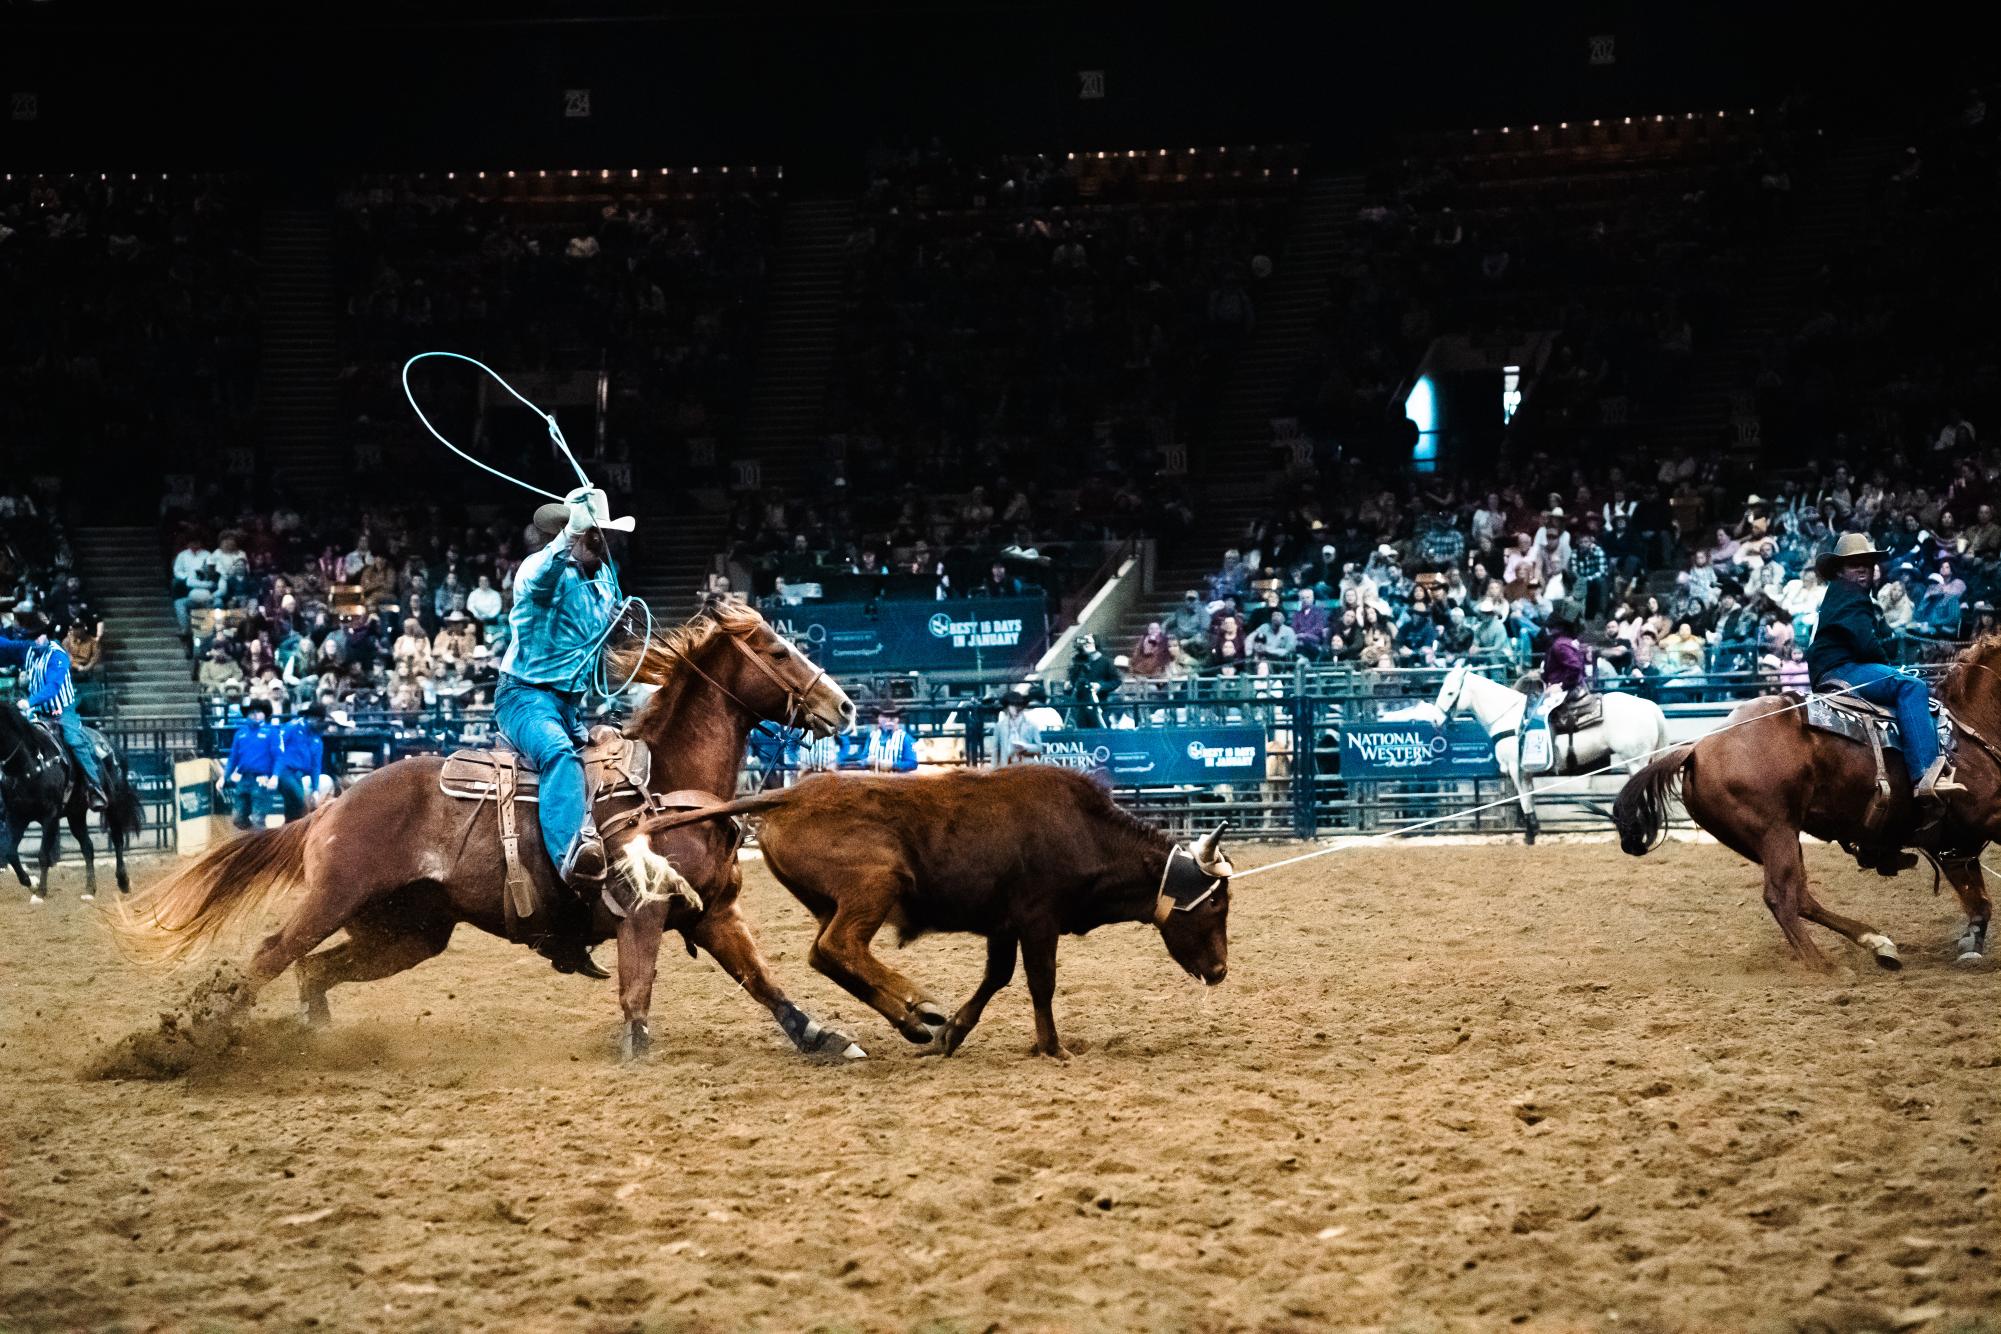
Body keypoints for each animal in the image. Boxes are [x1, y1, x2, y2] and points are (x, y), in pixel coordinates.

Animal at [0, 704, 145, 904]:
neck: (29, 763)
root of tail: (111, 745)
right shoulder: (16, 816)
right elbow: (11, 853)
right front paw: (33, 883)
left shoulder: (50, 816)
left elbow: (43, 855)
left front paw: (40, 892)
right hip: (75, 814)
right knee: (88, 847)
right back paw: (90, 890)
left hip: (112, 805)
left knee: (117, 839)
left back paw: (123, 882)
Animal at [119, 604, 868, 1064]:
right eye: (776, 649)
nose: (844, 706)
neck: (666, 784)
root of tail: (332, 807)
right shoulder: (643, 911)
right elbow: (637, 991)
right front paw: (634, 1048)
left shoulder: (714, 912)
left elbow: (763, 981)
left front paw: (825, 1036)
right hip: (334, 898)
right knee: (274, 953)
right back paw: (198, 1045)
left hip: (406, 931)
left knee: (313, 969)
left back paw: (317, 1044)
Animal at [1440, 664, 1672, 844]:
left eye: (1450, 692)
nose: (1436, 719)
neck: (1508, 717)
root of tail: (1650, 706)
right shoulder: (1526, 771)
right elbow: (1530, 797)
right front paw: (1533, 830)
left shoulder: (1515, 768)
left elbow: (1524, 798)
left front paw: (1530, 835)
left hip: (1636, 761)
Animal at [1616, 636, 1992, 972]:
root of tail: (1696, 748)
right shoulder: (1982, 820)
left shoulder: (1955, 841)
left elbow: (1978, 897)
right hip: (1775, 831)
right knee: (1782, 897)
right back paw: (1823, 965)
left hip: (1767, 839)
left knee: (1800, 896)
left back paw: (1875, 943)